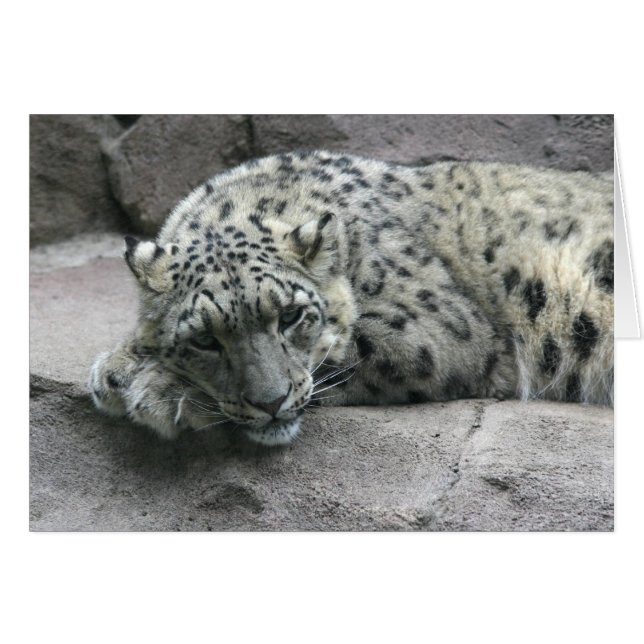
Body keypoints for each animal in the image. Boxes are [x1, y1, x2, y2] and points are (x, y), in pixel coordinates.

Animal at [89, 150, 614, 446]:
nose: (270, 403)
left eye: (291, 316)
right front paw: (118, 368)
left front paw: (162, 391)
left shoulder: (435, 328)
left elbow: (346, 353)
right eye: (203, 340)